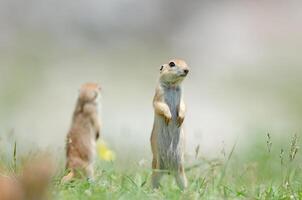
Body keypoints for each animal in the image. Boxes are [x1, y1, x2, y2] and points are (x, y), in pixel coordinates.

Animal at [150, 59, 190, 189]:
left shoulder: (182, 96)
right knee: (153, 182)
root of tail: (168, 171)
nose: (187, 70)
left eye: (185, 62)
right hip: (156, 169)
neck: (173, 86)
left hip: (180, 172)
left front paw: (180, 118)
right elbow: (159, 105)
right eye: (172, 64)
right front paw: (168, 117)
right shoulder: (158, 94)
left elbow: (183, 106)